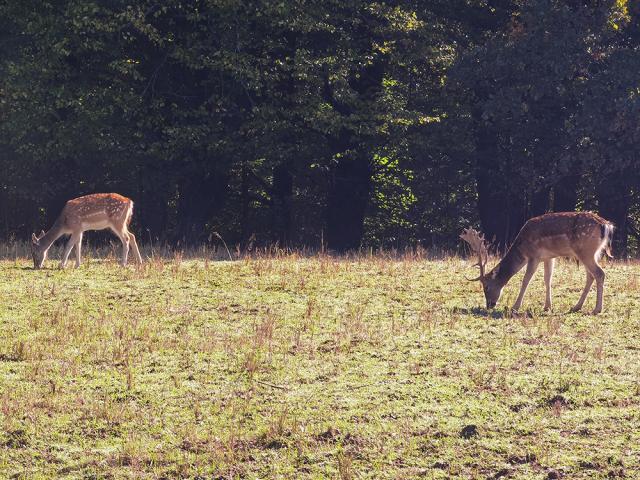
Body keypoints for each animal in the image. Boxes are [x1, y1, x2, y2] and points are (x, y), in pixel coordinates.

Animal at [460, 213, 616, 316]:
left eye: (486, 286)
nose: (489, 305)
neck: (521, 247)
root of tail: (606, 225)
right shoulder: (548, 257)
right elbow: (548, 279)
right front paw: (547, 306)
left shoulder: (534, 256)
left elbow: (526, 280)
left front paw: (515, 307)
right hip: (593, 252)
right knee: (591, 276)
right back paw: (576, 307)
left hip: (586, 251)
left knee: (599, 273)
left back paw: (597, 309)